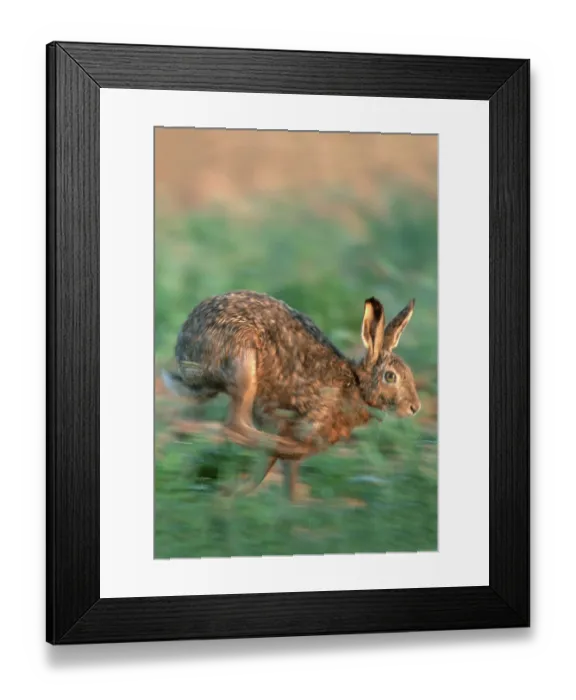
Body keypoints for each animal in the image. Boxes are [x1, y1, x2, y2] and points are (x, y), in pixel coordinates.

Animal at [161, 289, 421, 501]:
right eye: (390, 377)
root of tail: (185, 355)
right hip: (243, 361)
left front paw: (289, 503)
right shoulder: (303, 417)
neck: (356, 386)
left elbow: (283, 470)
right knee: (236, 426)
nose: (415, 408)